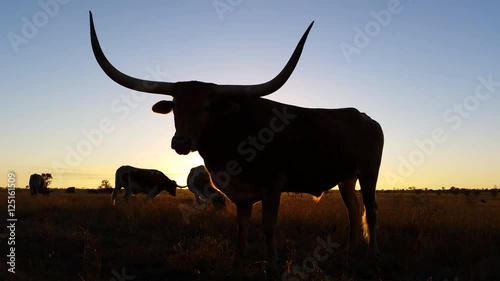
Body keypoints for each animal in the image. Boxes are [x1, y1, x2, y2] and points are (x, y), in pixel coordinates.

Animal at [90, 11, 384, 278]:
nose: (181, 141)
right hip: (346, 177)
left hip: (369, 173)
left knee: (370, 210)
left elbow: (268, 224)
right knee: (353, 209)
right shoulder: (241, 194)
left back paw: (372, 252)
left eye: (207, 106)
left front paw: (271, 265)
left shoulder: (272, 185)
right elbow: (242, 226)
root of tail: (365, 117)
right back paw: (351, 249)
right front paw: (237, 261)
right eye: (175, 106)